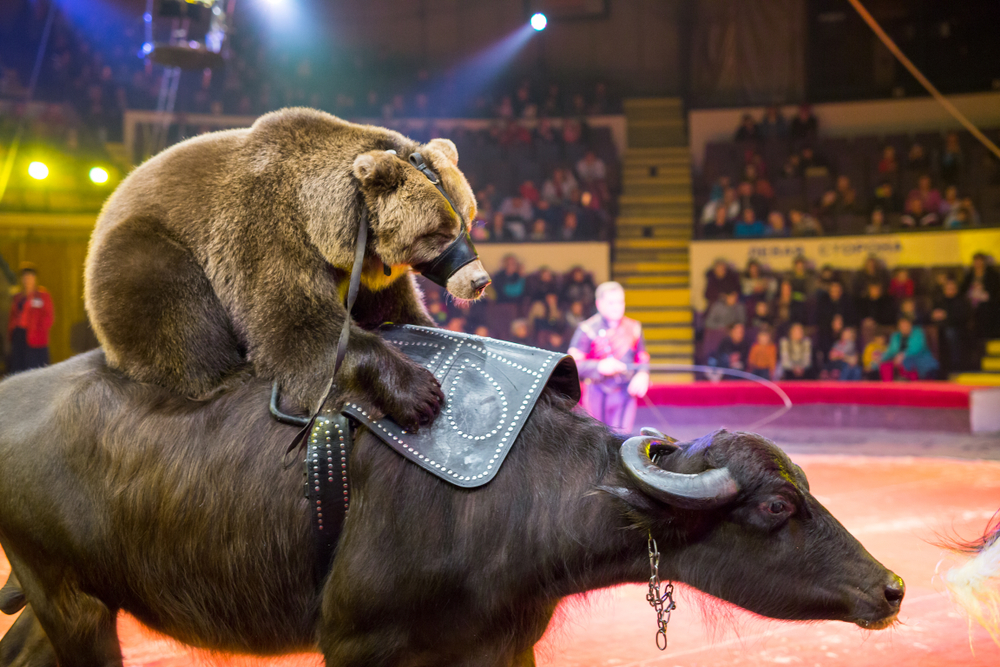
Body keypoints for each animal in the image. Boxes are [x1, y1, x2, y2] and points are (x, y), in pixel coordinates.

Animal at [84, 108, 490, 430]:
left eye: (469, 219)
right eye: (439, 231)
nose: (480, 281)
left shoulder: (365, 272)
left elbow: (393, 307)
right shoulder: (266, 235)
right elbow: (295, 326)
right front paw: (419, 392)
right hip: (143, 251)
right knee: (169, 303)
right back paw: (226, 375)